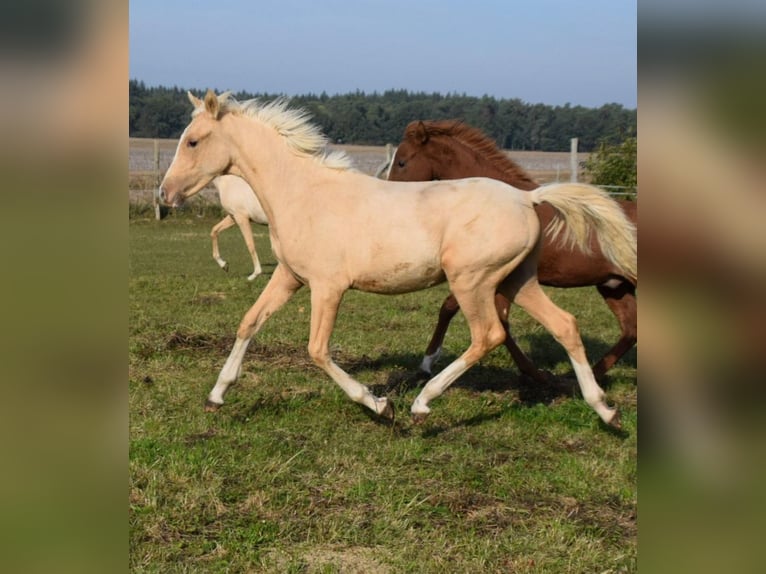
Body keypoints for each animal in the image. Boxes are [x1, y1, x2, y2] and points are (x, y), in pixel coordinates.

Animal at [388, 120, 640, 382]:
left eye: (402, 162)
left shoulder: (487, 277)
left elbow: (483, 319)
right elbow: (459, 312)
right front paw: (426, 365)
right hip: (614, 286)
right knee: (631, 330)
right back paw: (582, 377)